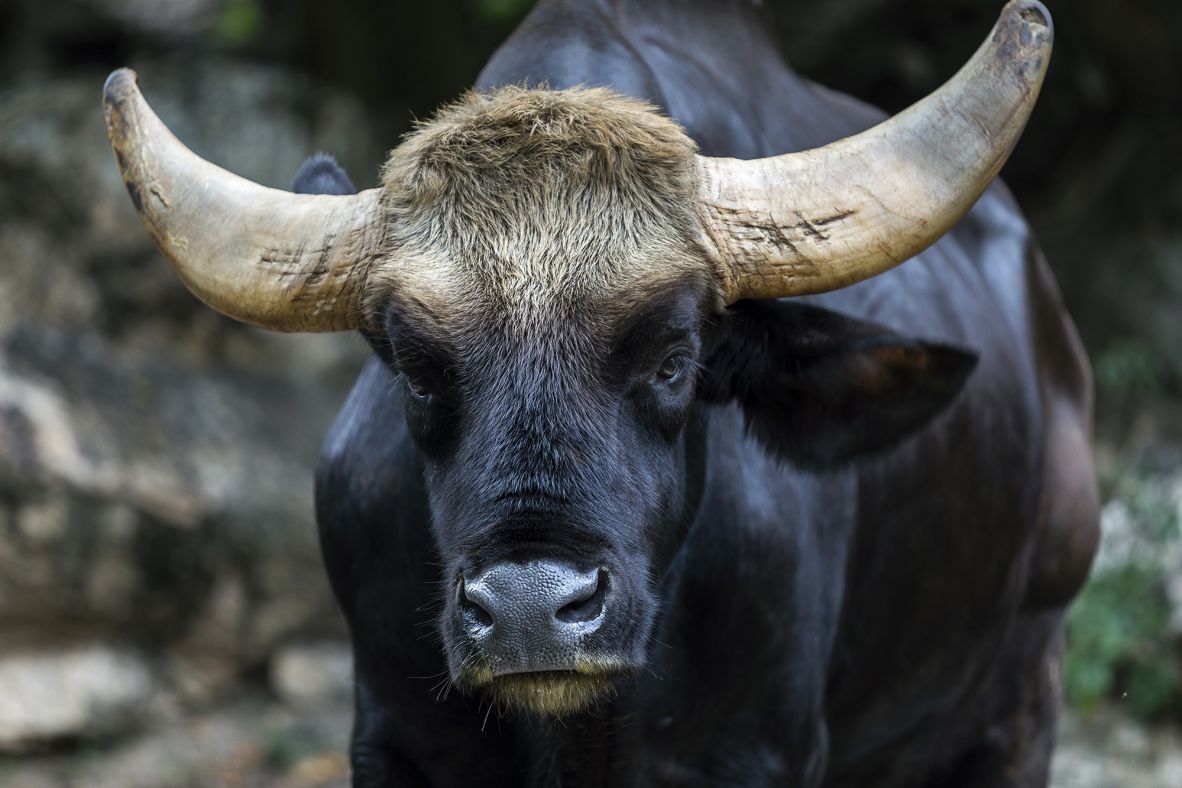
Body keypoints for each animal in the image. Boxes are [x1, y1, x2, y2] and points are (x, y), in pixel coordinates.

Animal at [102, 0, 1099, 785]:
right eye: (417, 372)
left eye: (674, 361)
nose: (530, 611)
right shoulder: (392, 743)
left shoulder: (754, 755)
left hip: (1023, 703)